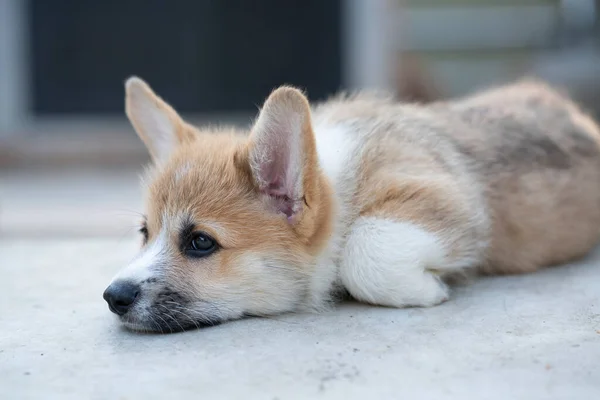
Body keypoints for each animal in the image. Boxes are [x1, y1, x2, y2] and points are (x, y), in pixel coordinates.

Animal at [103, 76, 600, 332]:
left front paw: (429, 289)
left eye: (201, 242)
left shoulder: (452, 201)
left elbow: (366, 249)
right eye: (145, 232)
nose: (113, 297)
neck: (338, 181)